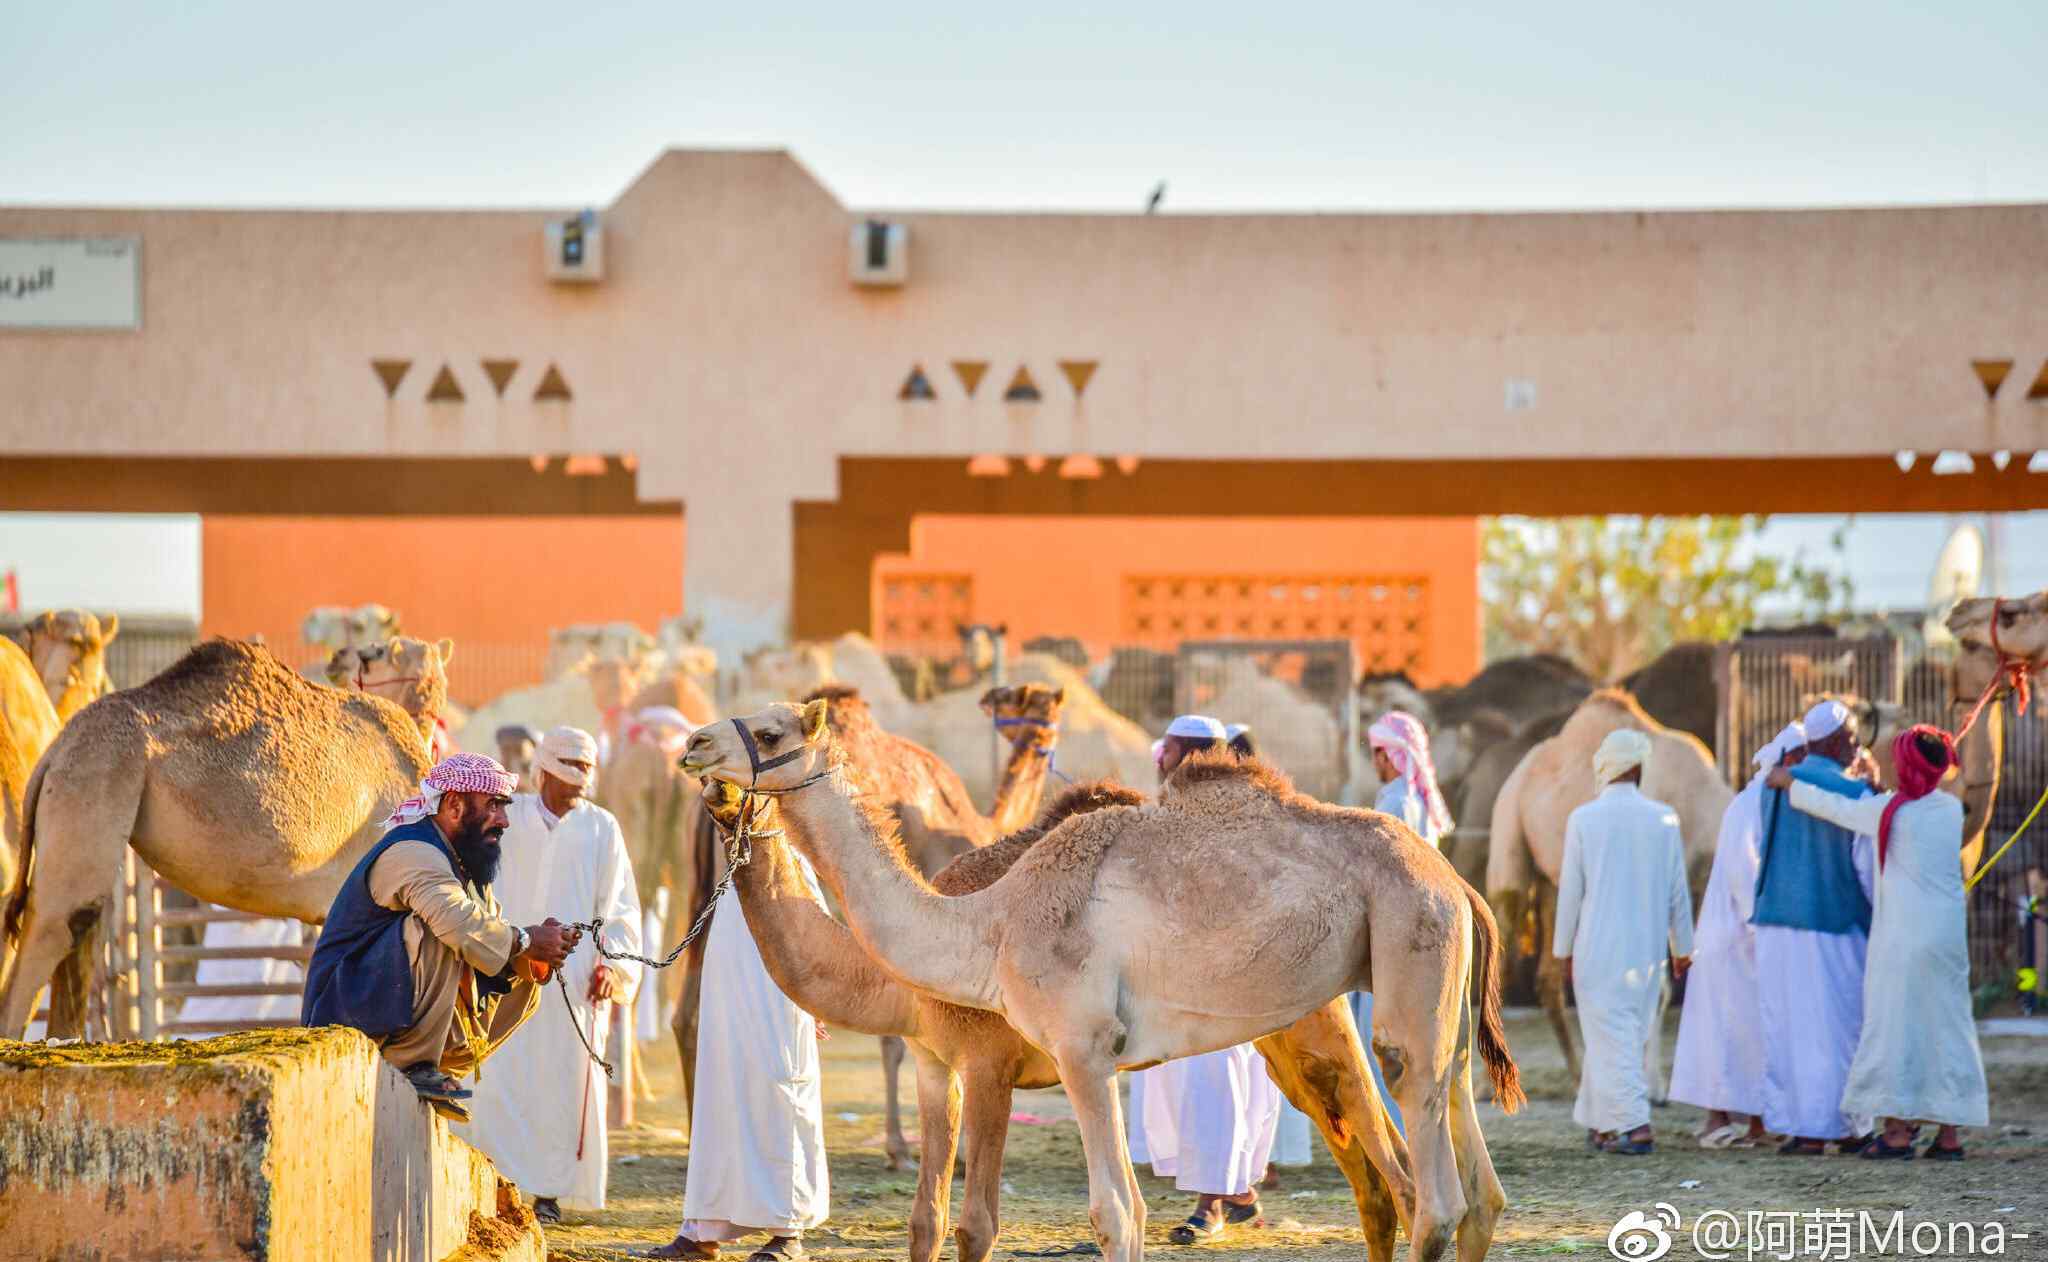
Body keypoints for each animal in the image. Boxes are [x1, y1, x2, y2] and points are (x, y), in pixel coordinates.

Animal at [0, 635, 446, 1040]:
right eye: (377, 651)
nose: (338, 656)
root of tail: (56, 748)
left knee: (77, 933)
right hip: (96, 778)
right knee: (54, 926)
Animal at [679, 700, 1515, 1262]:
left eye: (774, 731)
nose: (693, 743)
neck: (989, 924)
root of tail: (1456, 881)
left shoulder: (1074, 1048)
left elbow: (1113, 1213)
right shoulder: (993, 1060)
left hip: (1408, 944)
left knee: (1432, 1188)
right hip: (1437, 992)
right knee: (1476, 1182)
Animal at [1482, 688, 1736, 1081]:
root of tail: (1518, 773)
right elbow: (1656, 983)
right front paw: (1653, 1082)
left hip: (1555, 882)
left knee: (1549, 975)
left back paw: (1576, 1074)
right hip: (1509, 829)